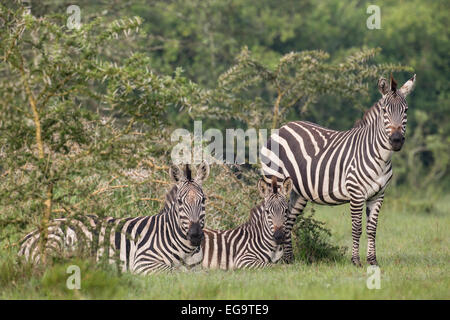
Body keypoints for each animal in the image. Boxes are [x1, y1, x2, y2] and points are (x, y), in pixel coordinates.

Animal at [17, 162, 211, 276]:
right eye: (180, 202)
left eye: (203, 200)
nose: (195, 235)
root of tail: (29, 236)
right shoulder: (143, 261)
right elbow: (176, 272)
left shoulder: (198, 268)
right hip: (56, 242)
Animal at [262, 74, 416, 264]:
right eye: (384, 111)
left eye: (406, 110)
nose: (396, 140)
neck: (381, 157)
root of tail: (283, 128)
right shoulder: (356, 194)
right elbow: (357, 228)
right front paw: (356, 261)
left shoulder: (378, 195)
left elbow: (372, 229)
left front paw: (372, 261)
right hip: (274, 180)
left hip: (296, 191)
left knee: (288, 221)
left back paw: (288, 260)